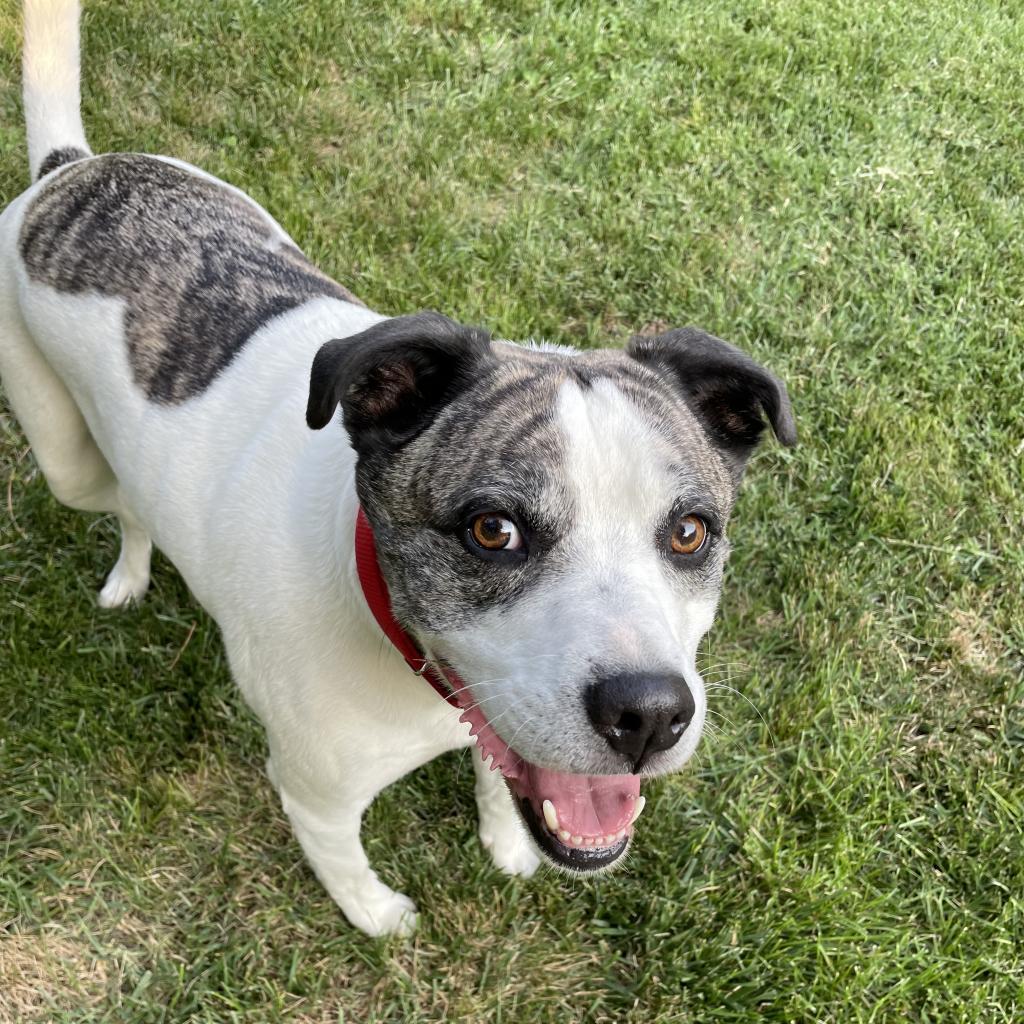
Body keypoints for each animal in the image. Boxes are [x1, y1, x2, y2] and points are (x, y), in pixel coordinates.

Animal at [0, 0, 794, 937]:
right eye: (493, 530)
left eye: (690, 531)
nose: (649, 714)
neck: (392, 632)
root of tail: (69, 170)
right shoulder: (315, 795)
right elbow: (344, 864)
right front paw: (380, 916)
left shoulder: (499, 720)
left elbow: (502, 774)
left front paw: (506, 843)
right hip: (63, 454)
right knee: (121, 500)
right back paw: (129, 573)